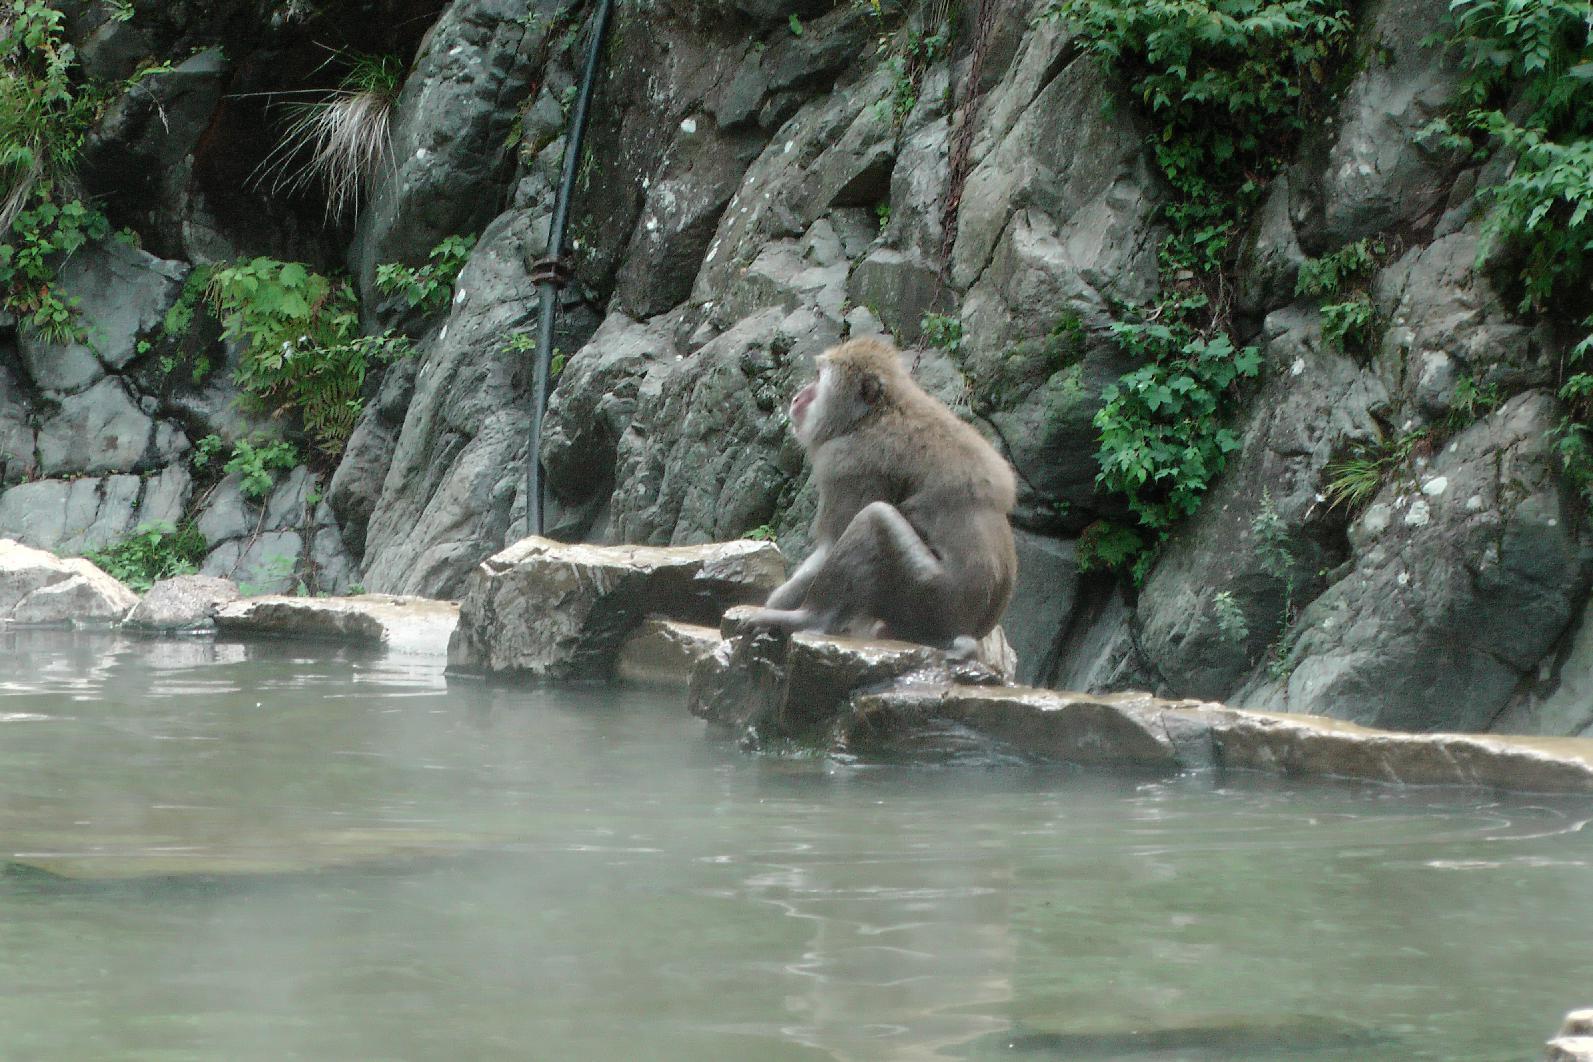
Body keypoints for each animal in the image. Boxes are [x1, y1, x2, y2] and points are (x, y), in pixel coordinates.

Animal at [739, 335, 1013, 649]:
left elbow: (830, 545)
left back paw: (809, 618)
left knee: (875, 520)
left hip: (929, 599)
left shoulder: (850, 462)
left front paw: (777, 602)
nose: (798, 397)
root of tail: (964, 632)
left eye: (819, 377)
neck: (871, 416)